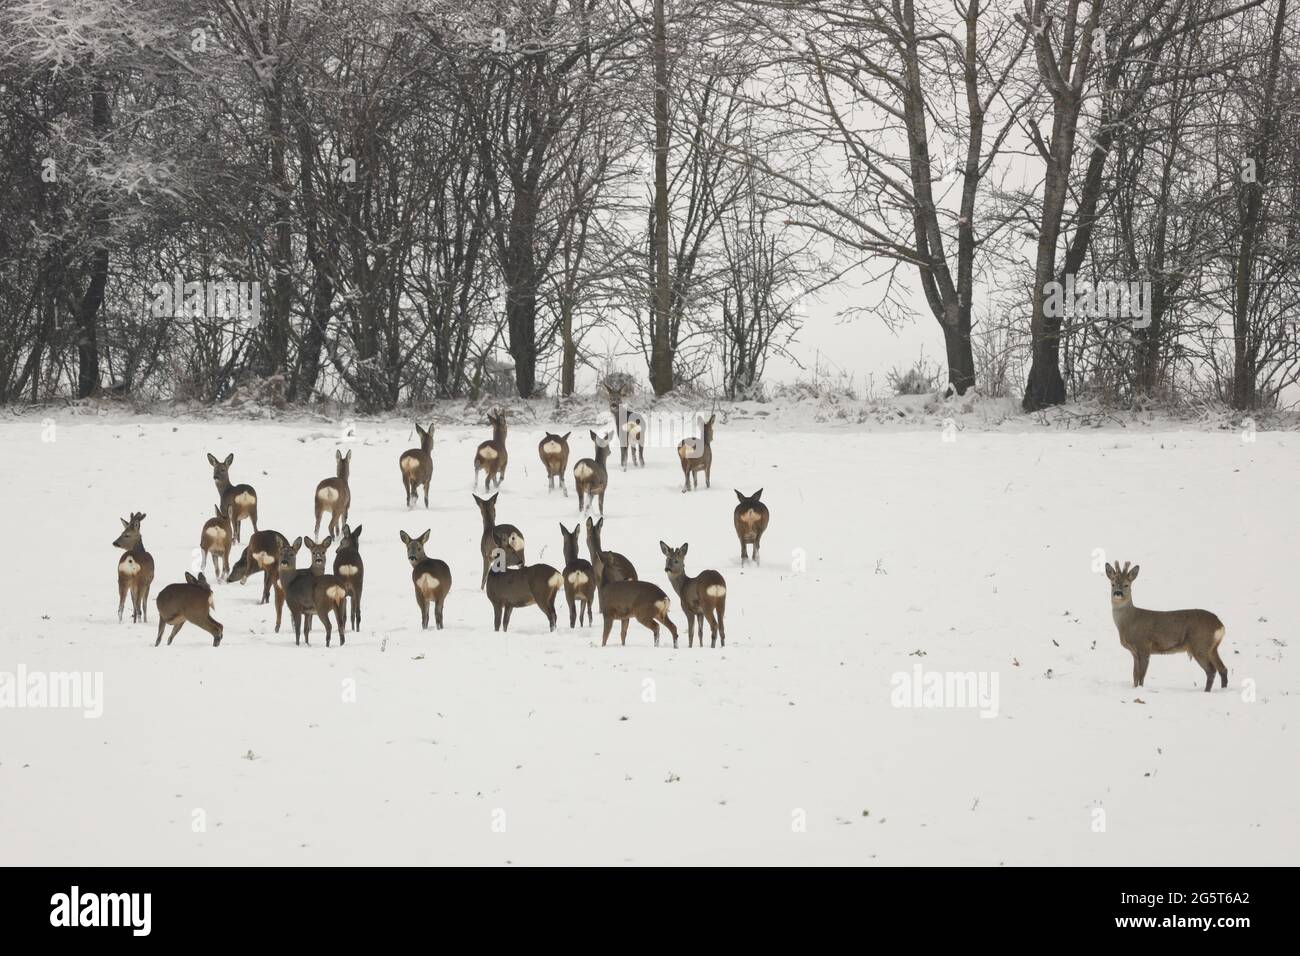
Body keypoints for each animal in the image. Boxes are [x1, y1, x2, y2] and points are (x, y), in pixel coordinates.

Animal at [1107, 561, 1227, 697]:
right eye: (1112, 584)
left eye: (1126, 585)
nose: (1117, 593)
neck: (1129, 621)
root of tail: (1220, 625)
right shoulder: (1134, 652)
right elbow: (1134, 676)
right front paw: (1134, 688)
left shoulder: (1144, 646)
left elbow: (1141, 676)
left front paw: (1140, 690)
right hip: (1212, 648)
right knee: (1223, 668)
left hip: (1200, 644)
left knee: (1211, 670)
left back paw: (1206, 692)